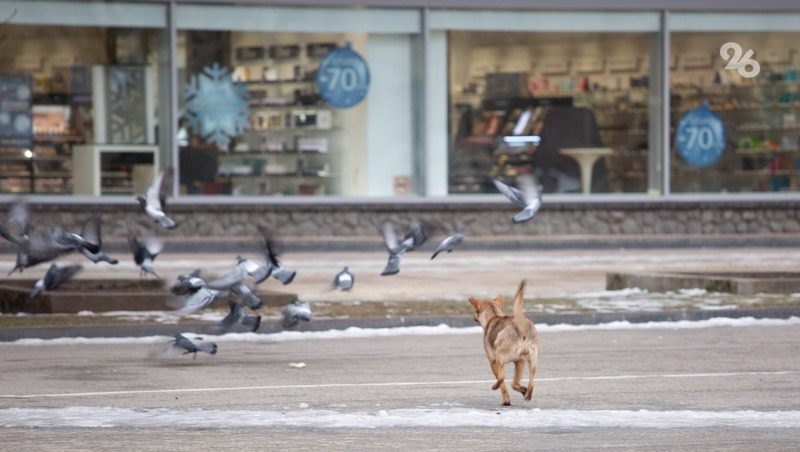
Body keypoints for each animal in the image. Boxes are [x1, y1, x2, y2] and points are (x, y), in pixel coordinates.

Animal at [466, 278, 540, 406]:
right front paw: (521, 390)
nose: (473, 317)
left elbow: (502, 384)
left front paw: (506, 400)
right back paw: (526, 394)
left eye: (476, 310)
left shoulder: (492, 362)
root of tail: (521, 328)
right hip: (530, 363)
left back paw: (495, 387)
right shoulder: (519, 362)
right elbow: (514, 383)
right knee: (528, 384)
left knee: (502, 378)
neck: (494, 316)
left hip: (500, 358)